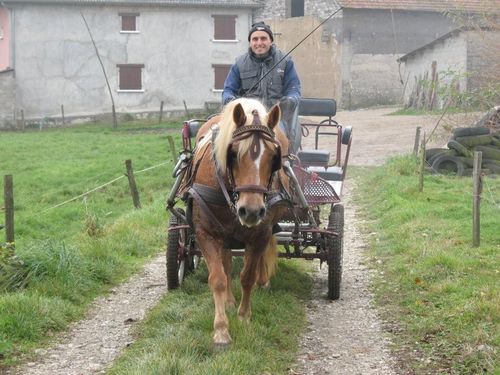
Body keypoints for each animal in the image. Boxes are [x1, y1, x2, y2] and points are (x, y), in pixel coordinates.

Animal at [186, 98, 292, 348]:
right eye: (232, 154)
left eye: (274, 157)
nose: (250, 211)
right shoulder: (205, 233)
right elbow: (218, 278)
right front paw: (221, 329)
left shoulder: (260, 234)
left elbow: (247, 276)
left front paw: (244, 316)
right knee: (225, 264)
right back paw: (228, 301)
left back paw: (262, 282)